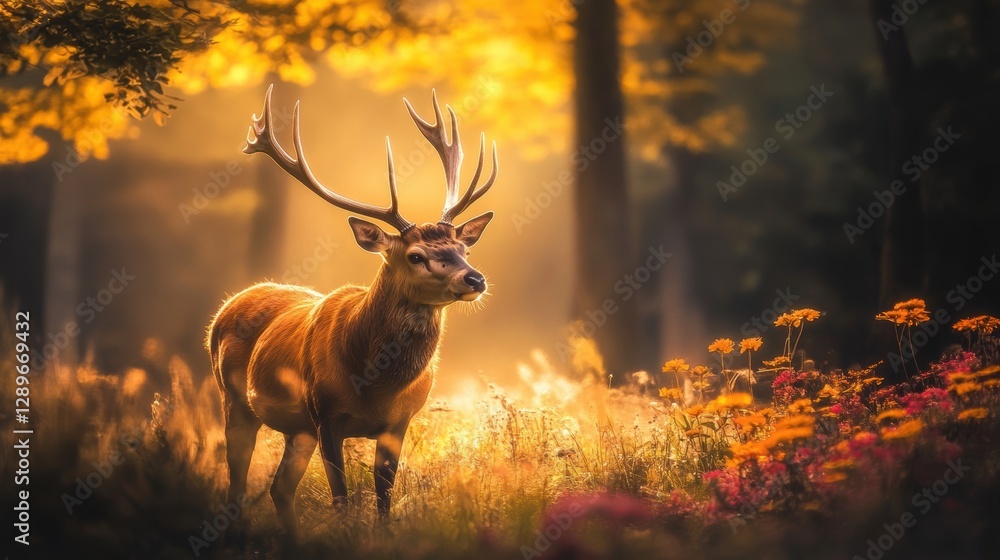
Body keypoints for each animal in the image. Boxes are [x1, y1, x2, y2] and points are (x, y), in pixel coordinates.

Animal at [206, 84, 498, 540]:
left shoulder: (400, 421)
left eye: (463, 249)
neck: (374, 386)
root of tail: (230, 304)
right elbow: (341, 498)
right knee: (236, 480)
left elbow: (384, 497)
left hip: (297, 429)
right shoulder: (326, 415)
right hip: (234, 400)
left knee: (279, 487)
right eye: (415, 255)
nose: (475, 279)